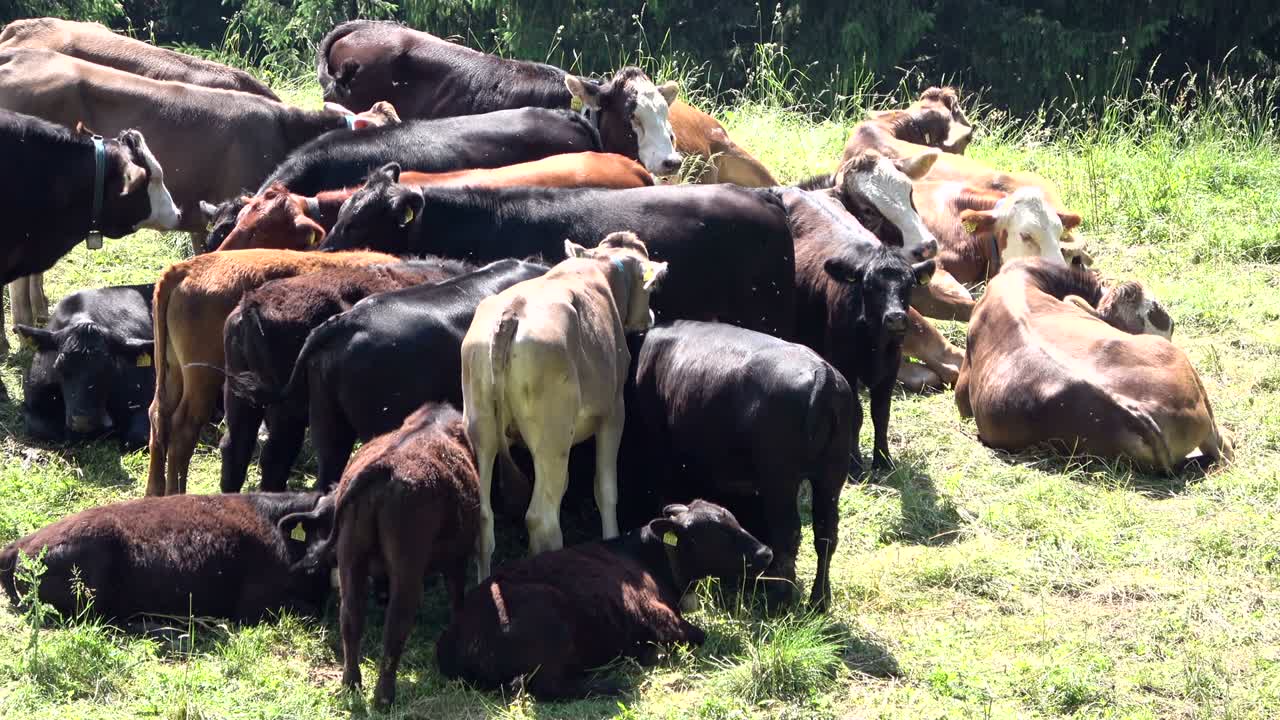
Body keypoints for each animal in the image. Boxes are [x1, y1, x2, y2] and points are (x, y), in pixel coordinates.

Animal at [145, 249, 399, 497]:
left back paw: (154, 491)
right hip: (204, 382)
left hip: (176, 374)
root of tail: (186, 268)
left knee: (159, 415)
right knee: (184, 430)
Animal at [282, 402, 478, 707]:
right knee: (396, 623)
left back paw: (351, 684)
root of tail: (384, 466)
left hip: (352, 559)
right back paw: (384, 697)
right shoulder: (458, 559)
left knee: (351, 617)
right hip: (407, 568)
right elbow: (457, 597)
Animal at [435, 500, 772, 699]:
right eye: (718, 534)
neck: (649, 557)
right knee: (547, 687)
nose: (766, 552)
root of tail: (457, 631)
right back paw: (612, 684)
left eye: (735, 520)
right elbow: (699, 635)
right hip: (549, 621)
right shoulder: (657, 614)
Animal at [463, 232, 668, 578]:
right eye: (651, 288)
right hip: (553, 438)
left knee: (483, 518)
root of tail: (512, 312)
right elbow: (605, 489)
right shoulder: (613, 413)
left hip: (482, 428)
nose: (651, 317)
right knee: (541, 519)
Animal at [616, 321, 853, 609]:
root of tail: (823, 376)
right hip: (831, 476)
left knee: (788, 533)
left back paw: (780, 598)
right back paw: (819, 600)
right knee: (826, 532)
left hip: (781, 480)